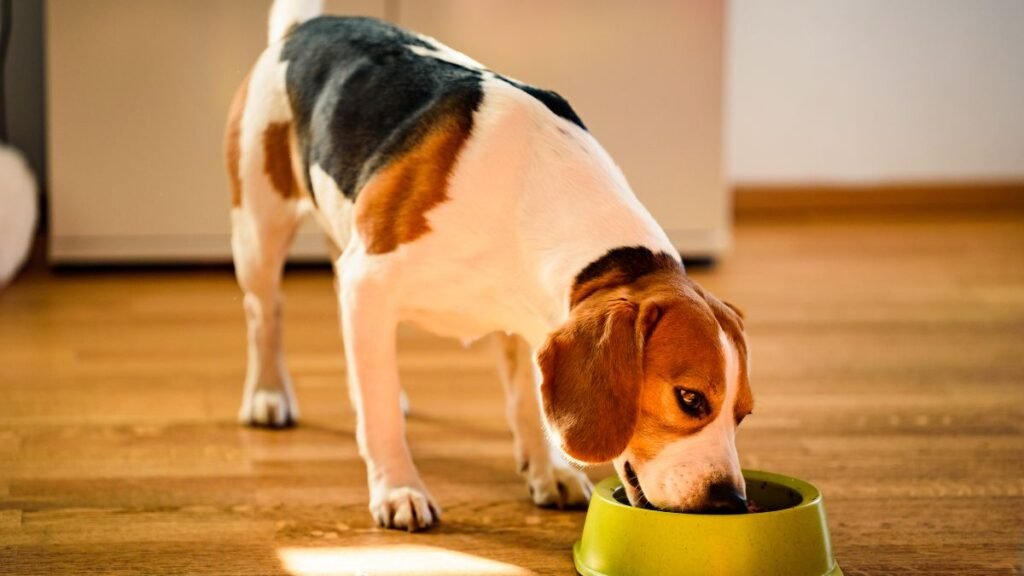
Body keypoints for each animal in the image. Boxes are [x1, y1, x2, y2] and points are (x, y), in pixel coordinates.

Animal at [226, 0, 753, 528]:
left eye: (743, 414)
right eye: (690, 398)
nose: (731, 502)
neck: (530, 194)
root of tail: (308, 26)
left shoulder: (530, 321)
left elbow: (526, 403)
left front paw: (548, 471)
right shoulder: (369, 281)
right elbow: (381, 417)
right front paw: (398, 488)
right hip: (259, 232)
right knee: (264, 314)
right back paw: (268, 395)